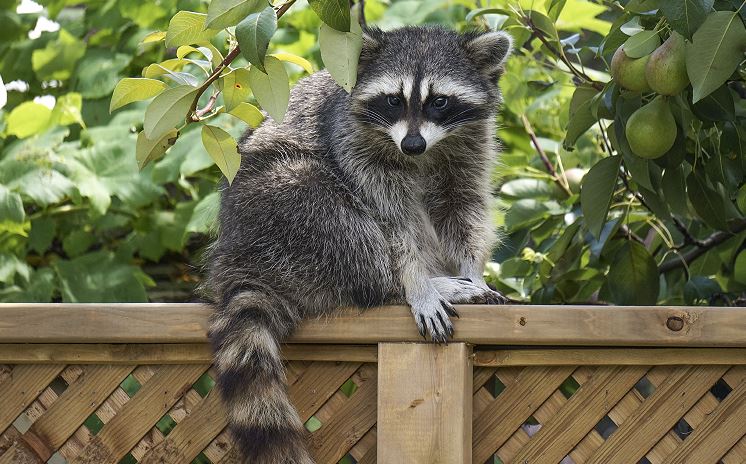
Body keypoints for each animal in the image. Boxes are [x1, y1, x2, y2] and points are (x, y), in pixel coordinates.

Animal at [206, 26, 512, 464]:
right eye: (393, 100)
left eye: (439, 101)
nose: (413, 145)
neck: (423, 152)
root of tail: (236, 257)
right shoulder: (353, 143)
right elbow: (391, 222)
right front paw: (415, 283)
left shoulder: (470, 145)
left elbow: (463, 207)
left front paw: (473, 270)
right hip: (275, 207)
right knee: (340, 220)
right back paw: (398, 285)